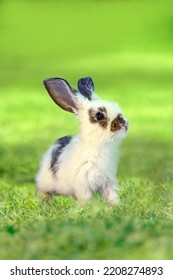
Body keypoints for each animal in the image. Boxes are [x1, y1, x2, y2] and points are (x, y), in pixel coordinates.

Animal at [35, 76, 128, 206]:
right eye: (100, 115)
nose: (124, 124)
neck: (98, 145)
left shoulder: (108, 180)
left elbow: (111, 194)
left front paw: (115, 205)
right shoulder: (82, 182)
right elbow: (85, 197)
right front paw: (89, 206)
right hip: (45, 181)